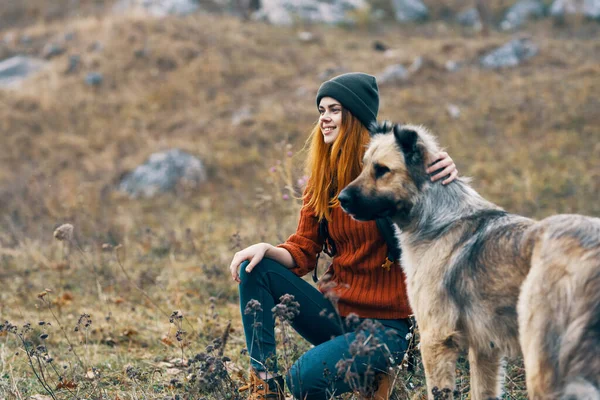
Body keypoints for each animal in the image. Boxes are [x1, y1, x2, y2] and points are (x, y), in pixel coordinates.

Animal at [340, 122, 596, 400]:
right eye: (364, 166)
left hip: (542, 365)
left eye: (382, 170)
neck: (436, 218)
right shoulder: (485, 348)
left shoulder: (435, 338)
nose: (341, 199)